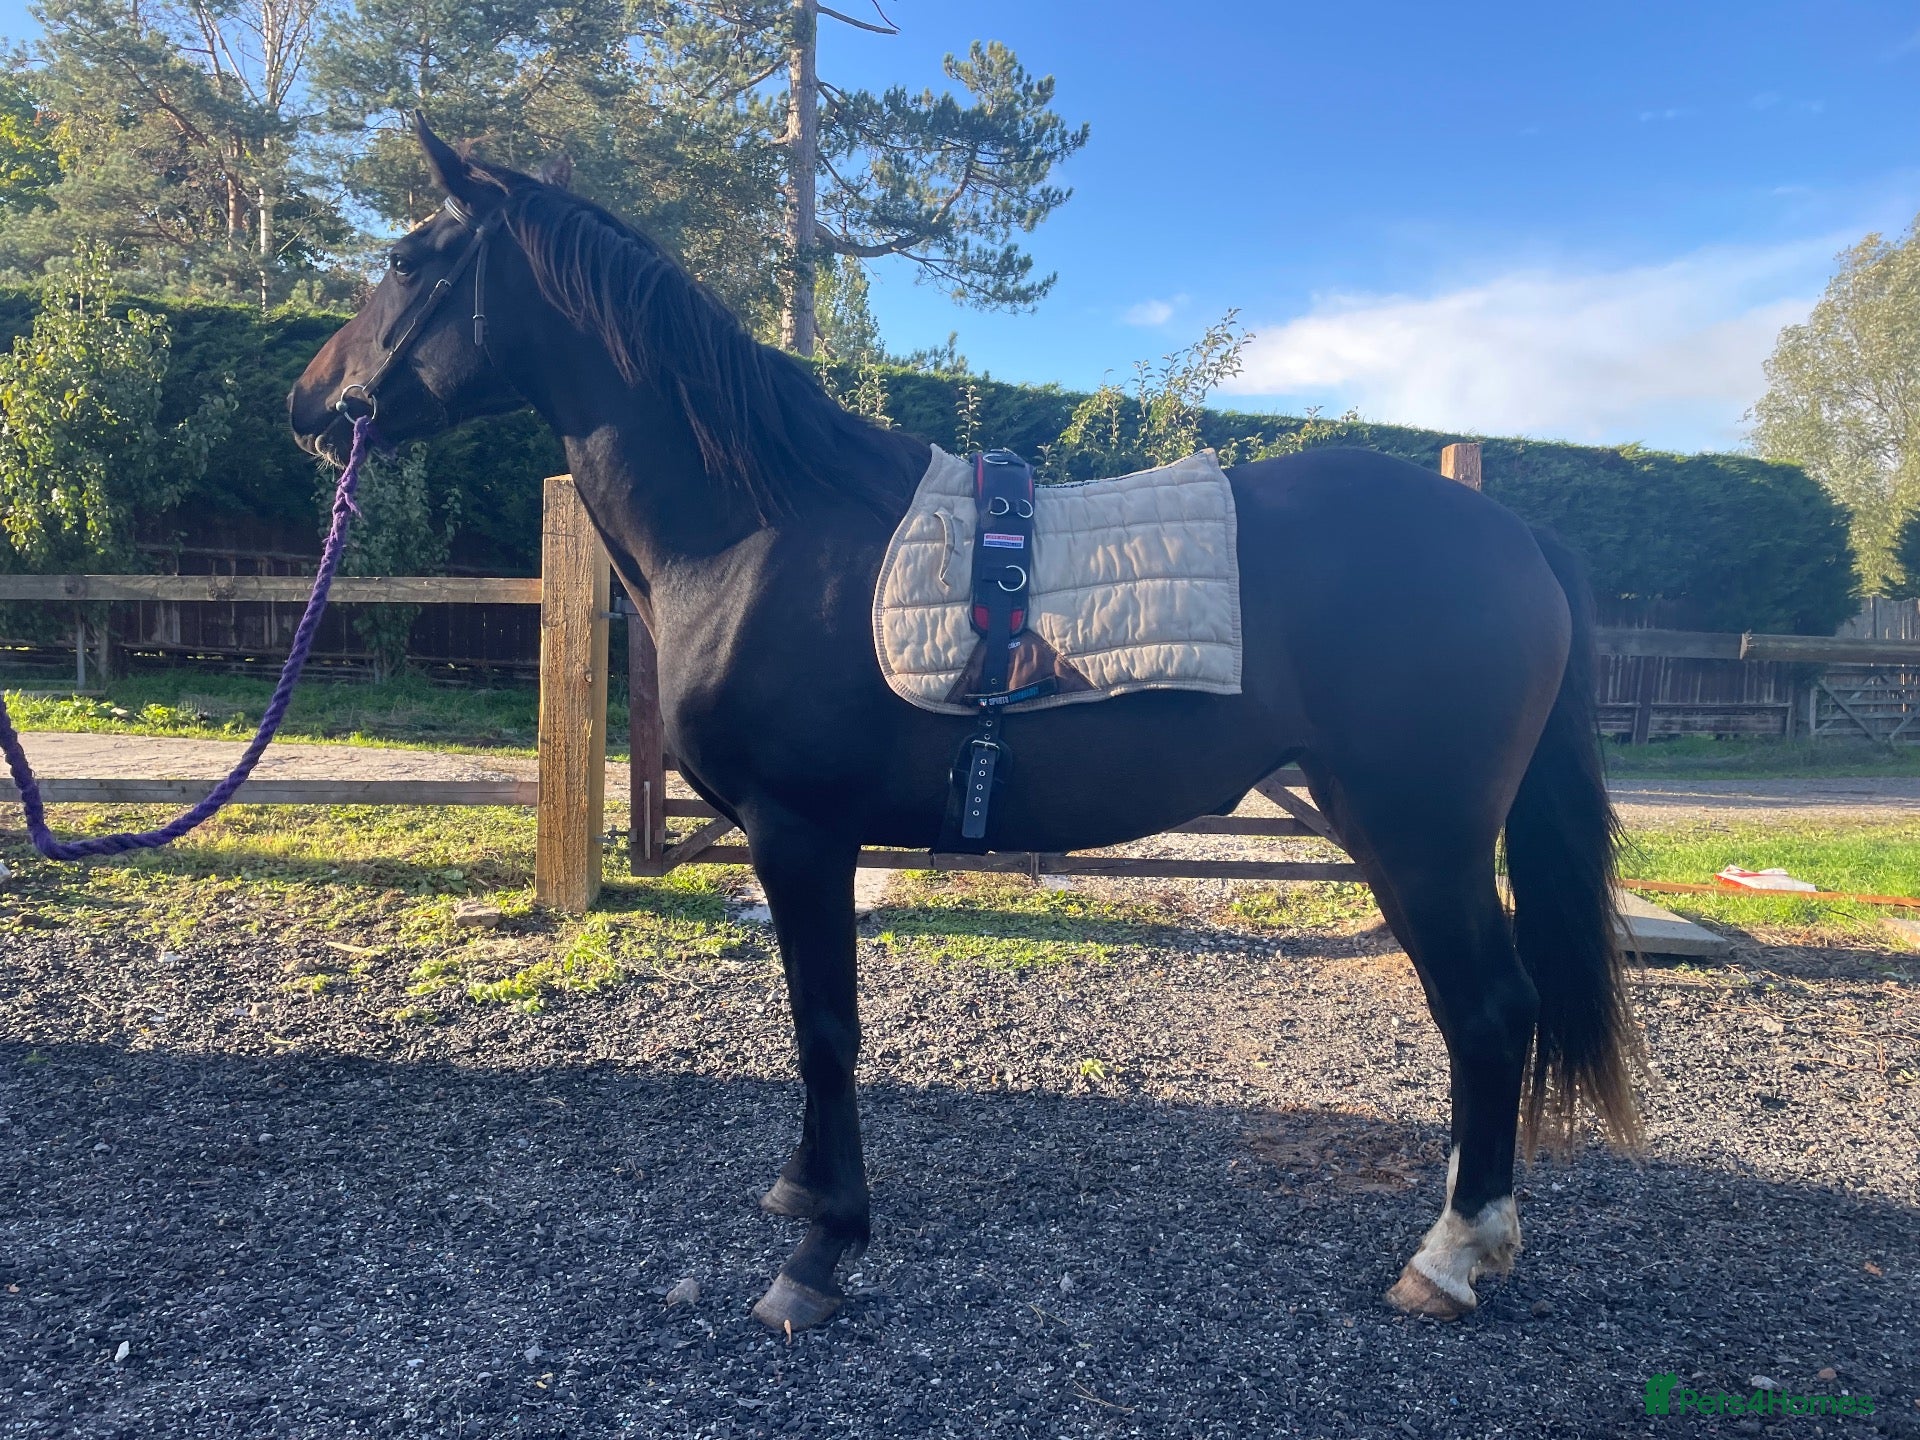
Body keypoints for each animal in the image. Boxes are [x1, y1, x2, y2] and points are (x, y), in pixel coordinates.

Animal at [289, 116, 1640, 1333]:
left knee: (1490, 1011)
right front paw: (803, 1194)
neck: (759, 528)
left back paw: (1450, 1259)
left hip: (1420, 834)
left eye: (408, 257)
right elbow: (808, 1024)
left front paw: (821, 1254)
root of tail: (1517, 533)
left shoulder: (802, 833)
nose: (309, 400)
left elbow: (827, 1027)